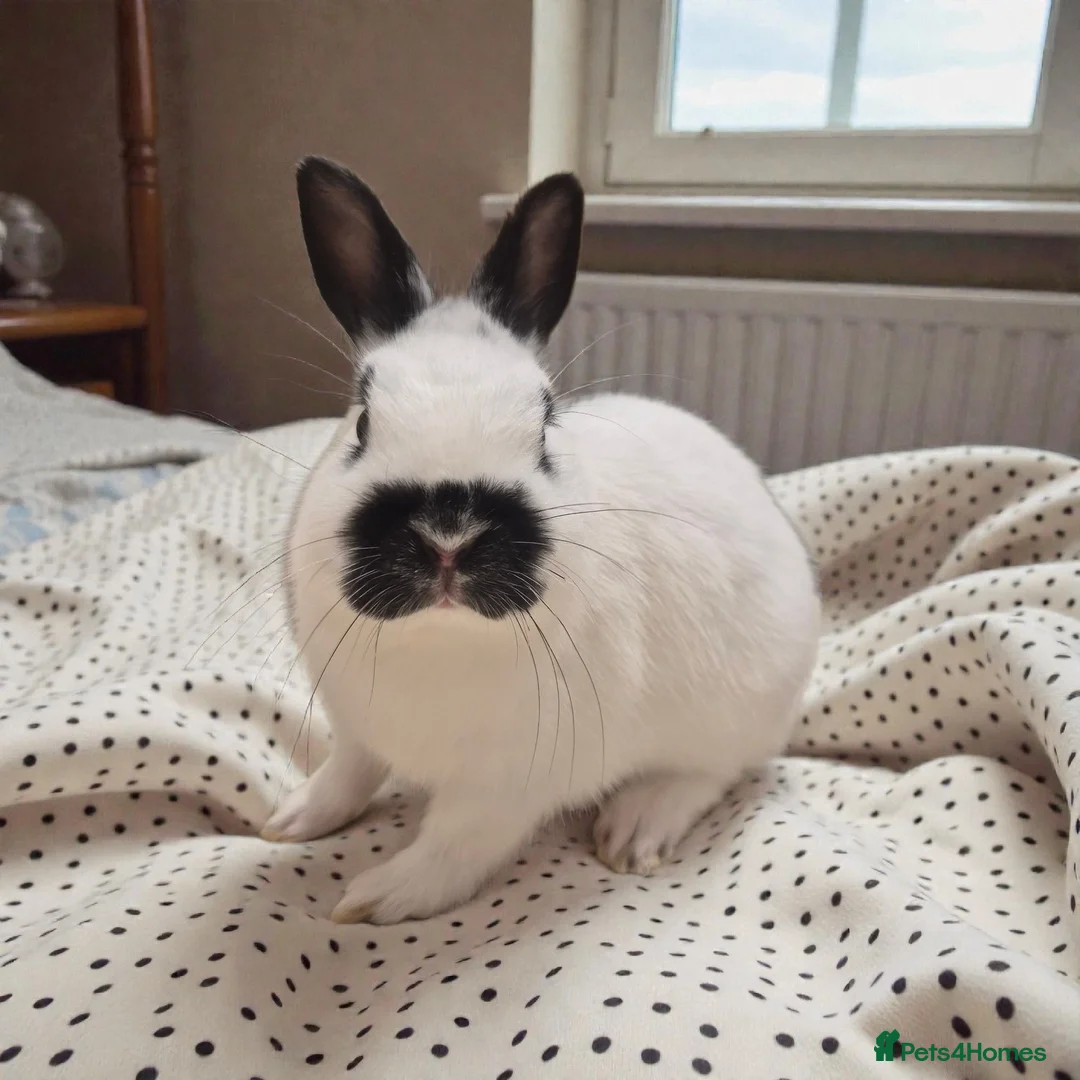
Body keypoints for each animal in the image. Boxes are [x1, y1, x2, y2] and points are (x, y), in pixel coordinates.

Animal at [260, 157, 821, 925]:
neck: (442, 637)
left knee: (712, 772)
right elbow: (348, 775)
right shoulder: (357, 729)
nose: (448, 534)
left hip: (735, 715)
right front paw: (291, 819)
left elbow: (453, 851)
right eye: (362, 420)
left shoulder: (509, 787)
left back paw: (635, 827)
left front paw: (375, 899)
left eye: (546, 425)